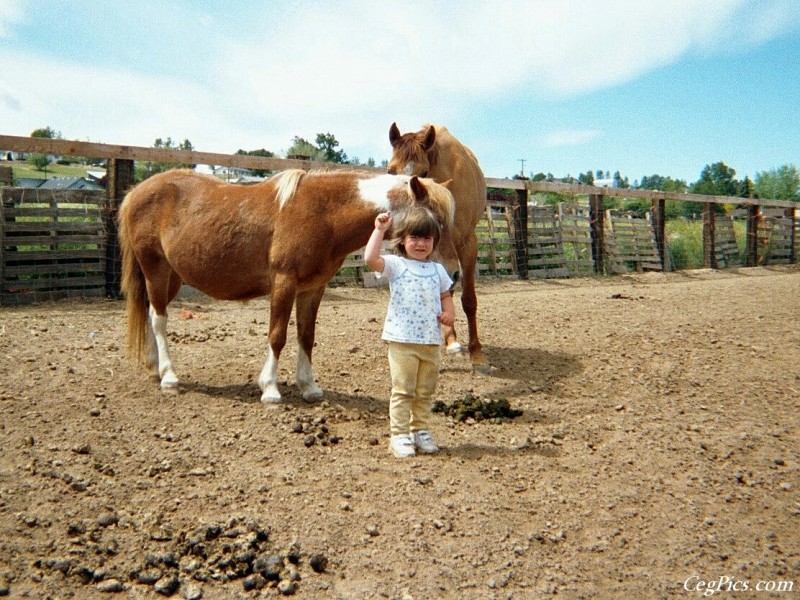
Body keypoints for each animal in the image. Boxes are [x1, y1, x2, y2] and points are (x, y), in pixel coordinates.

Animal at [119, 168, 456, 404]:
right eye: (432, 224)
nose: (453, 274)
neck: (324, 212)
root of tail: (136, 192)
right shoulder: (284, 282)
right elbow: (277, 335)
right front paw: (270, 388)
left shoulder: (312, 289)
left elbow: (306, 336)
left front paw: (309, 386)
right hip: (155, 270)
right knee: (159, 320)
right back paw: (169, 376)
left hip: (173, 277)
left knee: (149, 314)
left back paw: (154, 367)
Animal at [386, 122, 488, 376]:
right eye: (390, 171)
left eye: (423, 172)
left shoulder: (468, 244)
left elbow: (469, 300)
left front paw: (477, 356)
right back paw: (450, 340)